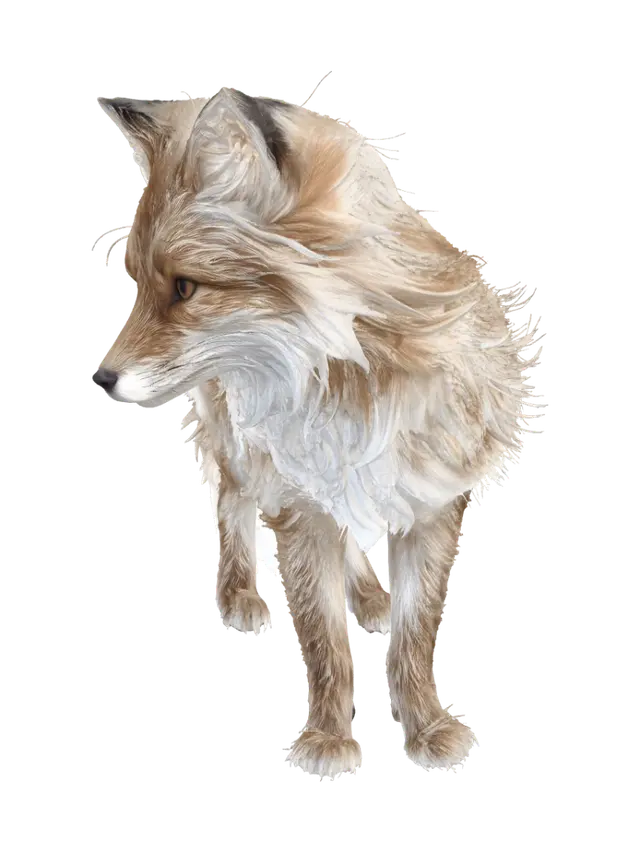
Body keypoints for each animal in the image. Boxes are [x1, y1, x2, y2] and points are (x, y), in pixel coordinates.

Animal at [91, 84, 544, 779]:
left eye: (186, 288)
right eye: (139, 287)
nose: (101, 378)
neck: (354, 383)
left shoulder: (434, 504)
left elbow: (414, 636)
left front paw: (428, 728)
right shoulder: (299, 509)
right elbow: (325, 642)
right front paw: (331, 741)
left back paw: (369, 594)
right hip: (243, 449)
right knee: (232, 499)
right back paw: (239, 594)